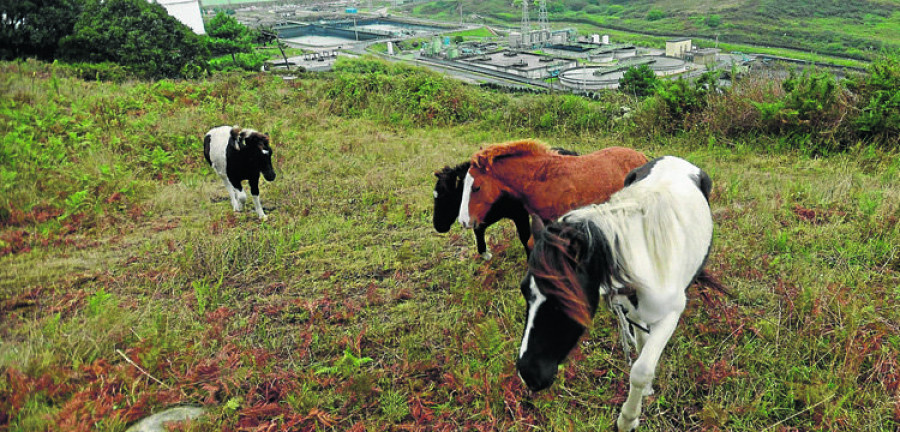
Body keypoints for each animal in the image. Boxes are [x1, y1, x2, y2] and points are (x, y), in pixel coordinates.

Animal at [516, 157, 712, 430]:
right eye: (524, 291)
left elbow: (641, 369)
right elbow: (641, 345)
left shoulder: (671, 314)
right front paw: (644, 393)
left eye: (564, 300)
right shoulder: (632, 308)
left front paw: (628, 418)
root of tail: (677, 160)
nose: (528, 374)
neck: (645, 258)